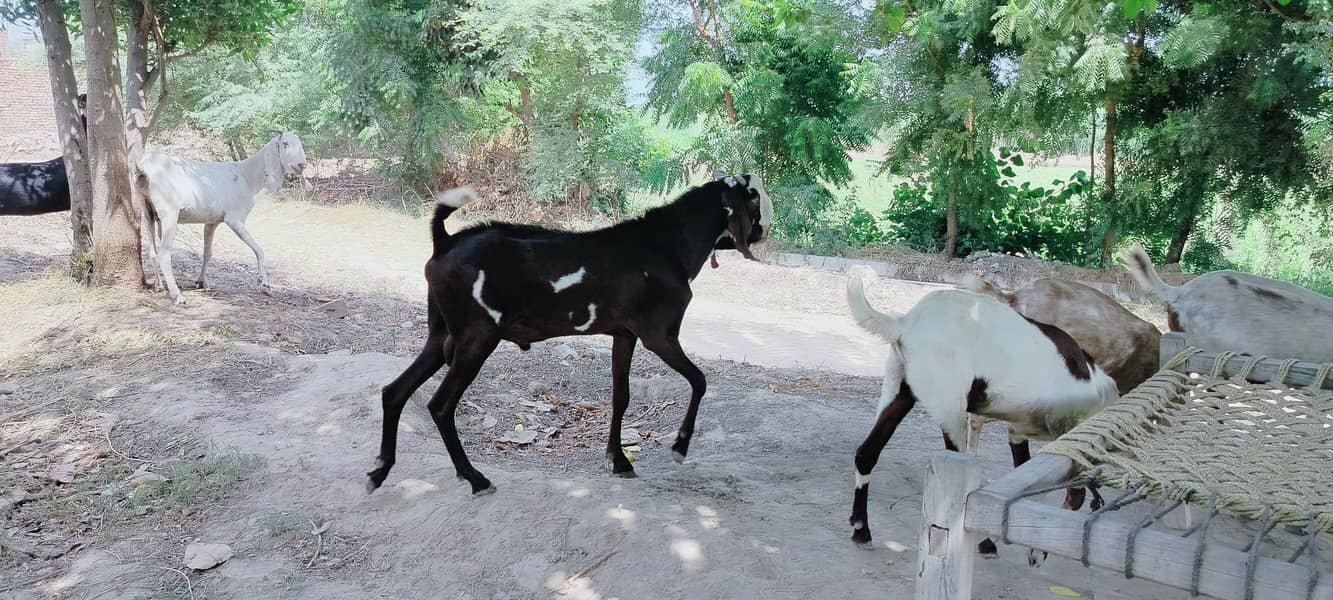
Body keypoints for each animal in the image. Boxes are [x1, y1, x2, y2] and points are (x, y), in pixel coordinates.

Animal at [137, 132, 311, 304]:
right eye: (285, 143)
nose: (302, 165)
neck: (247, 176)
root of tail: (145, 167)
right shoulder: (234, 219)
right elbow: (259, 250)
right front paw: (265, 285)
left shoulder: (212, 220)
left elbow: (208, 253)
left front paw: (201, 282)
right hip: (169, 213)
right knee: (164, 253)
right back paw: (177, 295)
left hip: (149, 211)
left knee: (153, 252)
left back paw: (159, 286)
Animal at [367, 173, 773, 496]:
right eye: (753, 198)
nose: (763, 232)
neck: (667, 245)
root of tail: (445, 242)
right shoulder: (660, 335)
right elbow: (700, 380)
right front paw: (679, 448)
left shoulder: (624, 335)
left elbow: (621, 396)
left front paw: (619, 461)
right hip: (476, 337)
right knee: (440, 405)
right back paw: (475, 479)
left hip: (441, 334)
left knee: (394, 391)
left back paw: (379, 472)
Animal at [845, 266, 1118, 548]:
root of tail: (907, 322)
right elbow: (1070, 491)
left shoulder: (1017, 431)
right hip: (950, 412)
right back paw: (984, 543)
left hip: (898, 393)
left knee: (866, 453)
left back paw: (861, 527)